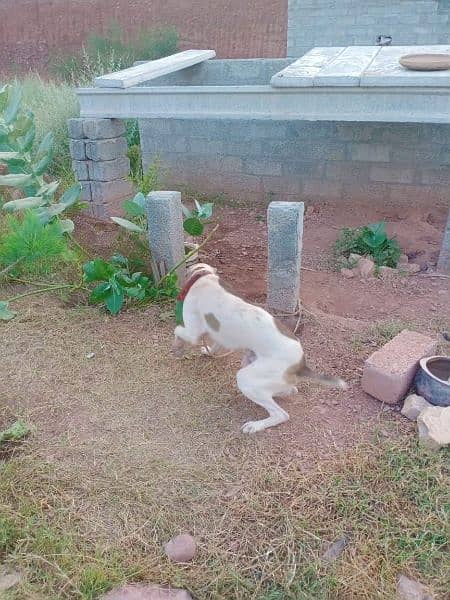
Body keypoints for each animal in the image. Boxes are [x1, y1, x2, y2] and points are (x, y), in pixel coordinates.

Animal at [173, 262, 348, 432]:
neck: (204, 276)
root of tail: (301, 365)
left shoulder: (192, 332)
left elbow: (177, 331)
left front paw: (177, 348)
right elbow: (215, 345)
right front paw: (207, 351)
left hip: (246, 378)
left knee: (281, 414)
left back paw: (255, 426)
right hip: (252, 365)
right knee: (290, 390)